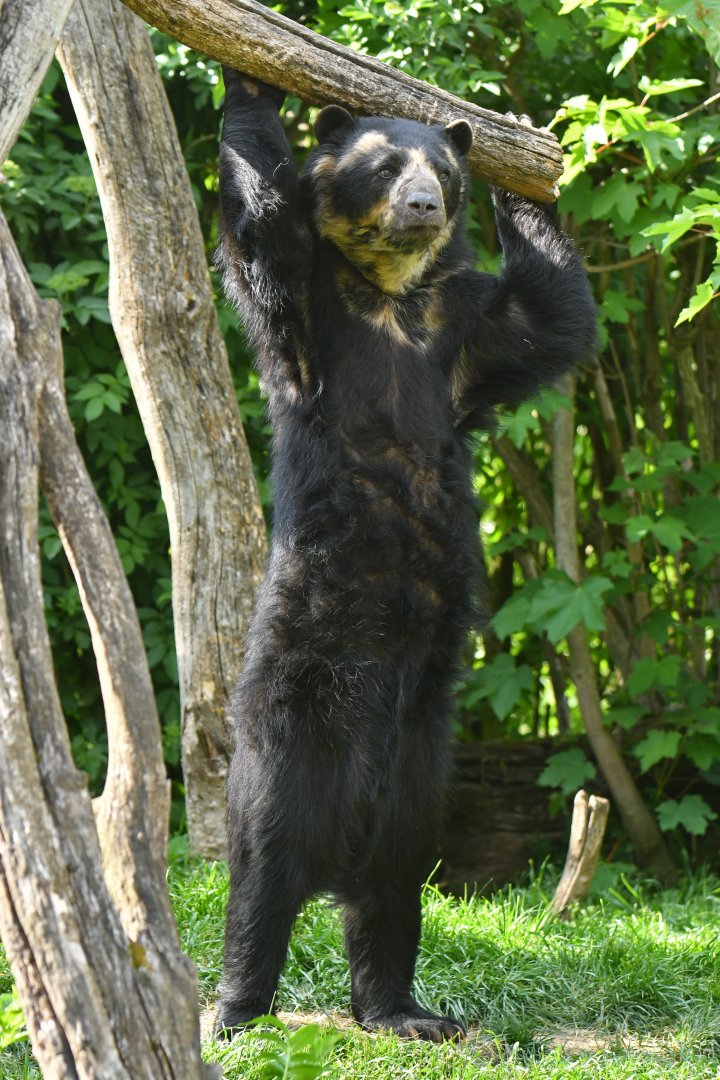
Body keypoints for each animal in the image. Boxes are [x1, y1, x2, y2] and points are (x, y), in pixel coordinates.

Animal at [214, 66, 597, 1042]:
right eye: (385, 166)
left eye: (442, 173)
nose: (424, 205)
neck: (390, 291)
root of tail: (340, 850)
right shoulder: (308, 310)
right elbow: (265, 222)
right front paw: (247, 74)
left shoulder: (464, 332)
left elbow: (550, 319)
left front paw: (527, 155)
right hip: (290, 711)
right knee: (262, 865)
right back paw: (237, 1008)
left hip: (425, 768)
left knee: (395, 889)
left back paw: (405, 1011)